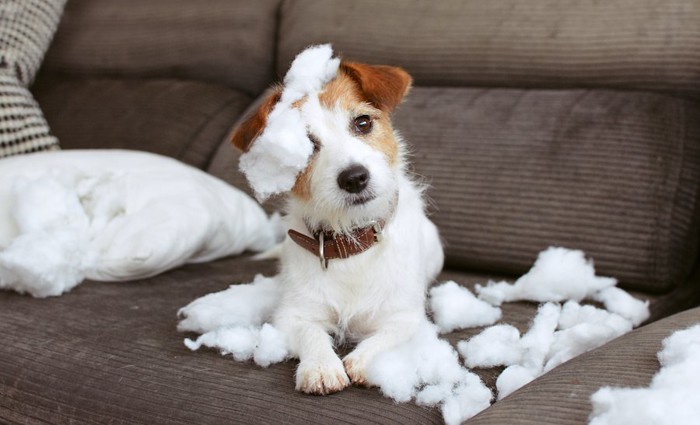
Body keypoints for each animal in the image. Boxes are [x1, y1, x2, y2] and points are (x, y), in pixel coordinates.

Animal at [232, 46, 446, 394]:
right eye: (306, 146)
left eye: (362, 122)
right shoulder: (294, 315)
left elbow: (384, 338)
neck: (351, 240)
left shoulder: (405, 318)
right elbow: (311, 334)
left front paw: (361, 361)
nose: (355, 178)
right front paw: (321, 367)